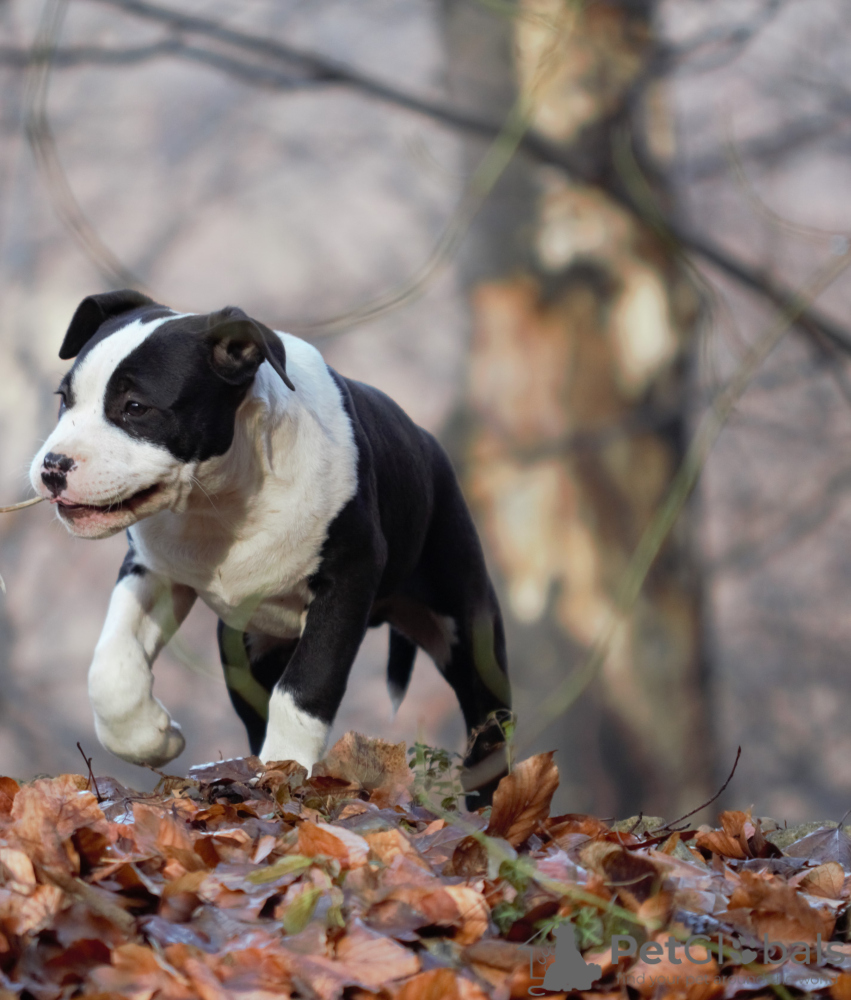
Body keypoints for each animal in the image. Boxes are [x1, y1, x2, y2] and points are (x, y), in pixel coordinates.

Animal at [30, 290, 512, 796]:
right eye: (65, 399)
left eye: (136, 407)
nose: (53, 465)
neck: (220, 503)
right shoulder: (153, 569)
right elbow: (110, 664)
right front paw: (150, 740)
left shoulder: (348, 577)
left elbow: (305, 688)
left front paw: (287, 771)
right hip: (245, 648)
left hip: (465, 623)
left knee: (488, 717)